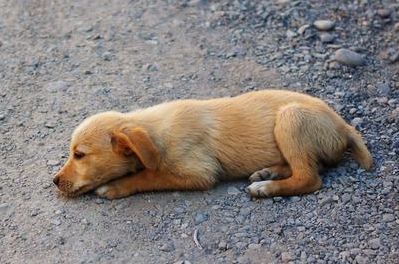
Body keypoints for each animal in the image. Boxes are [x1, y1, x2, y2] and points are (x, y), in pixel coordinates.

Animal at [52, 89, 372, 199]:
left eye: (79, 155)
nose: (54, 181)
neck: (155, 132)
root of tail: (343, 125)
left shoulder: (199, 173)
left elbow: (150, 176)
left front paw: (117, 187)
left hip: (290, 118)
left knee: (309, 177)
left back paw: (266, 187)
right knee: (306, 167)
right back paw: (267, 172)